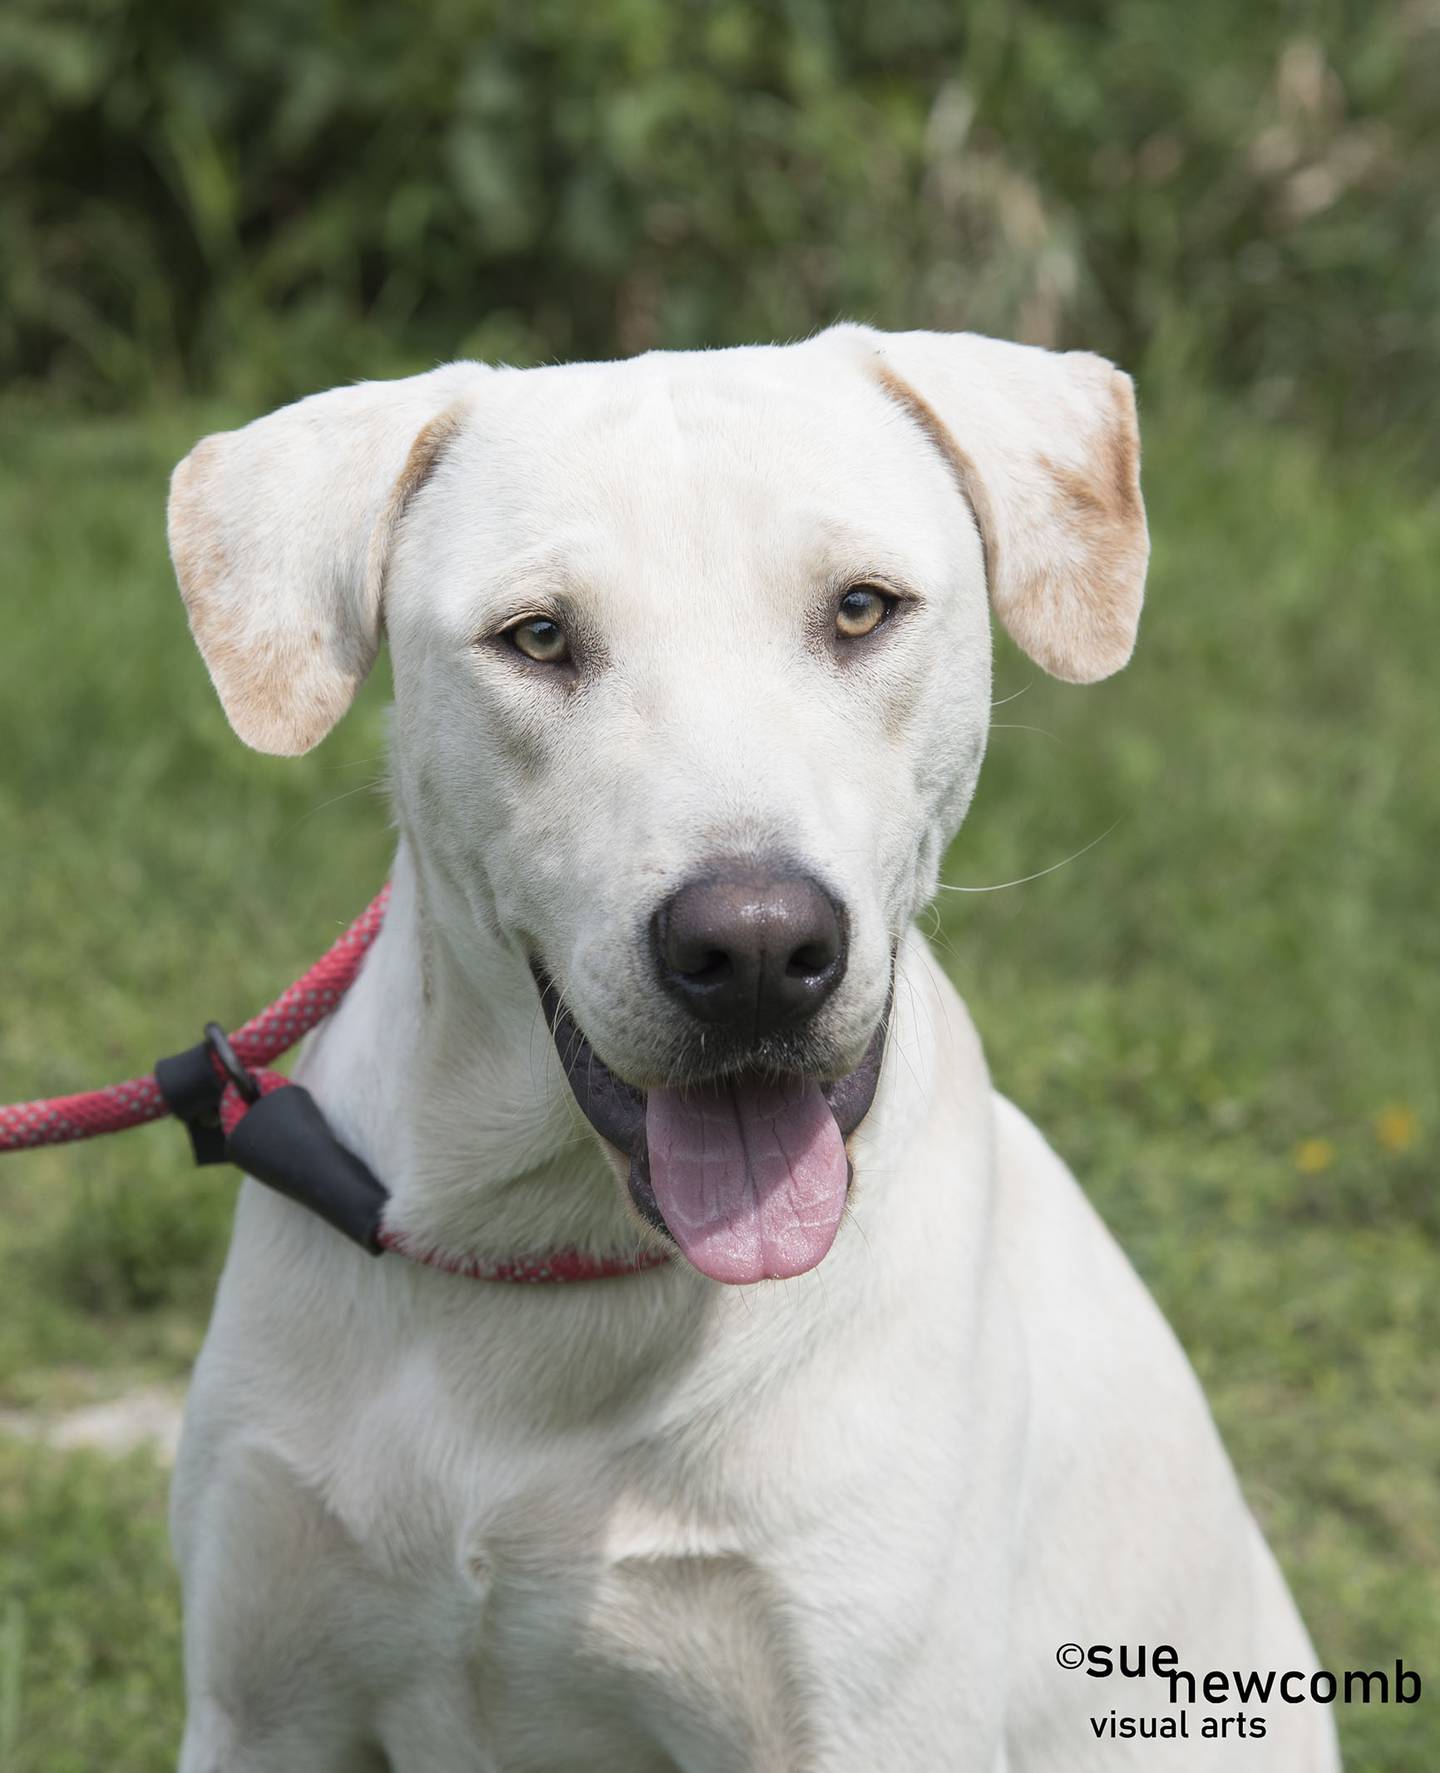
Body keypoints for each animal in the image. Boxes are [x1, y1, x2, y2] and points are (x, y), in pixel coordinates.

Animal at [165, 326, 1340, 1765]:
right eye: (538, 636)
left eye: (861, 609)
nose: (758, 953)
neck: (554, 1258)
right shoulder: (259, 1706)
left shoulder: (861, 1717)